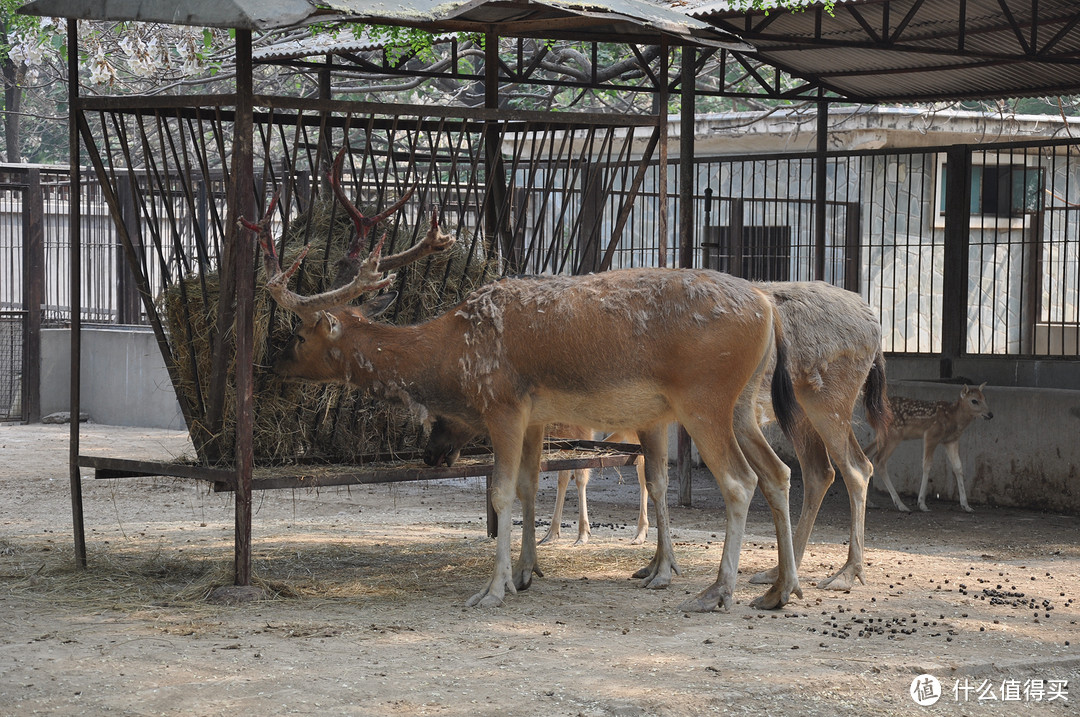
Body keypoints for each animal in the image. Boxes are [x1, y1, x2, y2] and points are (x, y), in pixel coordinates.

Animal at [245, 145, 803, 609]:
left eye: (298, 334)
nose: (273, 364)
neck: (451, 353)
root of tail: (766, 308)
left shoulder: (503, 404)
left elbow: (501, 493)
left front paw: (492, 591)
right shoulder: (536, 416)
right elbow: (532, 485)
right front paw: (525, 573)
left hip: (703, 398)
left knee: (739, 480)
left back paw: (718, 591)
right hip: (741, 403)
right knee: (778, 472)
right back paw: (778, 589)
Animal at [425, 280, 889, 591]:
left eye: (445, 406)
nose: (431, 453)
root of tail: (875, 324)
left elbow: (613, 476)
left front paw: (654, 563)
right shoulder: (651, 417)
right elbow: (655, 479)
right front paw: (655, 563)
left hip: (826, 402)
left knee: (855, 467)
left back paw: (847, 572)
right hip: (798, 414)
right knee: (818, 472)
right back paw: (782, 571)